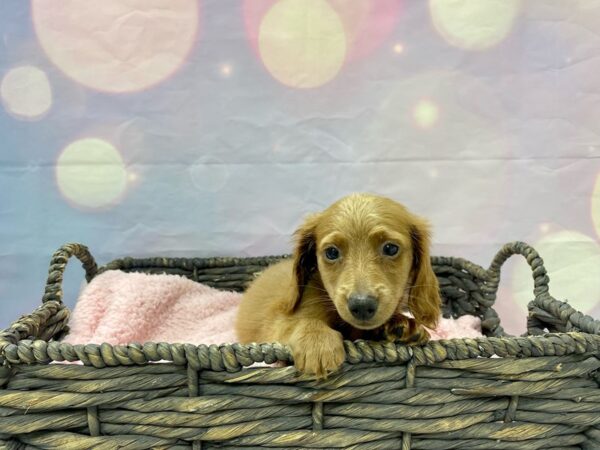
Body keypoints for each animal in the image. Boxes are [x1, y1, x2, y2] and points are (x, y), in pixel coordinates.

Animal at [234, 192, 440, 378]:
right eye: (332, 252)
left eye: (390, 248)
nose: (362, 305)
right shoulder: (278, 322)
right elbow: (298, 323)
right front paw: (317, 341)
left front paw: (402, 324)